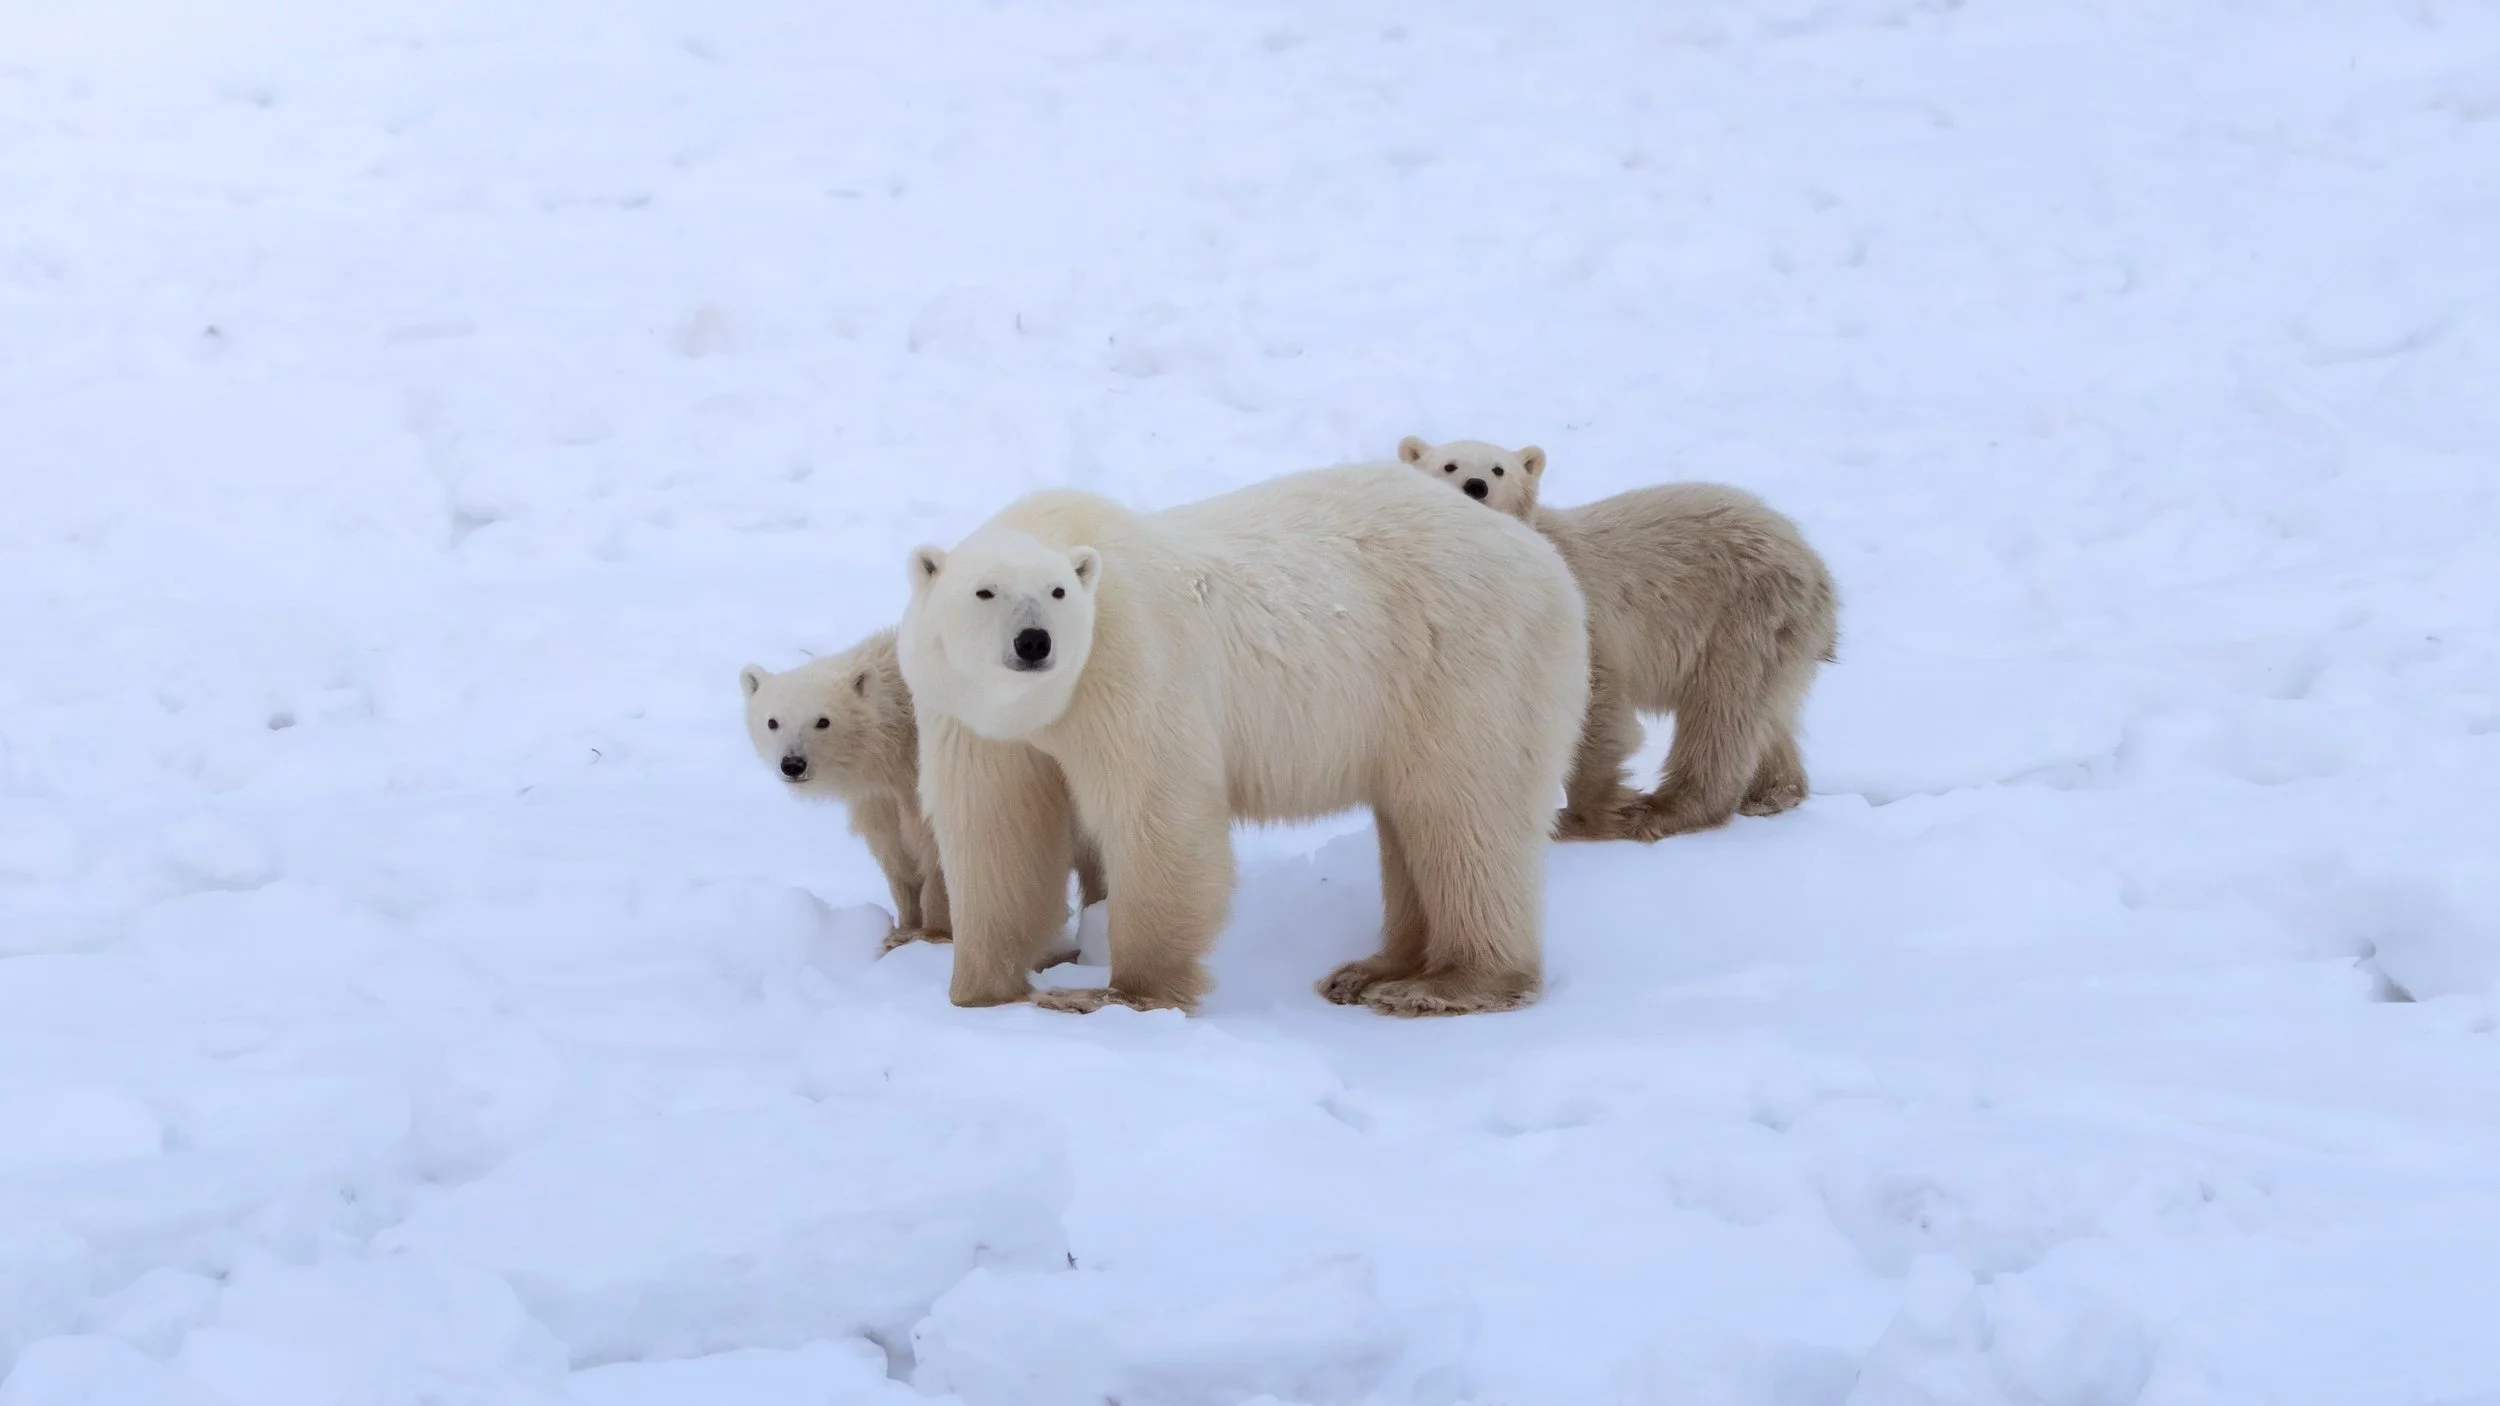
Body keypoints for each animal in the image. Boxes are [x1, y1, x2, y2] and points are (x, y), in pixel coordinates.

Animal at [739, 630, 1105, 957]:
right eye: (772, 722)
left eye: (822, 721)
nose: (792, 764)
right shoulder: (882, 798)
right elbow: (896, 857)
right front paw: (903, 927)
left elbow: (938, 856)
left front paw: (933, 933)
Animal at [896, 463, 1590, 1018]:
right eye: (984, 591)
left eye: (1058, 591)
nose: (1035, 641)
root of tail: (1545, 561)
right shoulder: (969, 719)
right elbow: (995, 829)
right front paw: (978, 990)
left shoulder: (1127, 662)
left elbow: (1157, 813)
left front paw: (1114, 993)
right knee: (1414, 817)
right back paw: (1372, 970)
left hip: (1463, 659)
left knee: (1463, 811)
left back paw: (1444, 984)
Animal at [1398, 435, 1838, 842]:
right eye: (1449, 465)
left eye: (1498, 469)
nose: (1476, 486)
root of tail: (1815, 566)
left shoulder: (1577, 613)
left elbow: (1597, 705)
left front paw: (1589, 817)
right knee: (1766, 714)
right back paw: (1772, 792)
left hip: (1743, 615)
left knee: (1722, 713)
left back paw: (1665, 809)